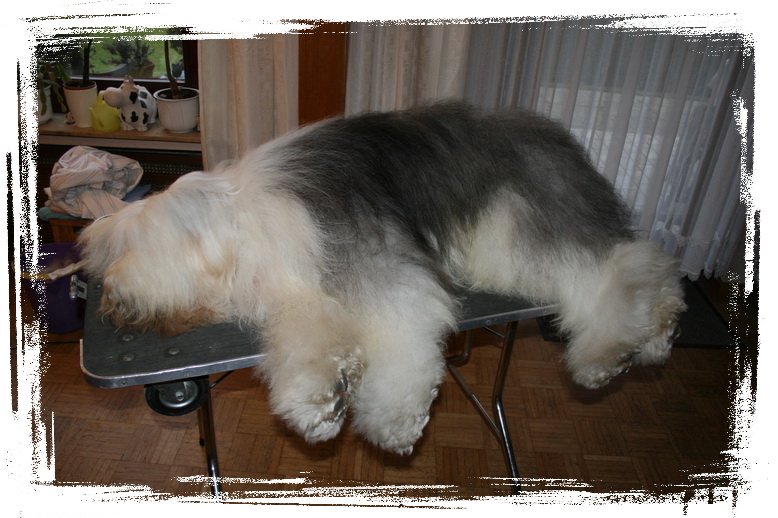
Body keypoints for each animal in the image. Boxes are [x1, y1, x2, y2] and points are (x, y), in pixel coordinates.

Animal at [78, 102, 686, 455]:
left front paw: (394, 422)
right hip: (500, 253)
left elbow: (403, 343)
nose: (110, 301)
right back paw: (657, 337)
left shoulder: (384, 277)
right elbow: (304, 344)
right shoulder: (302, 298)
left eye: (124, 251)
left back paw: (605, 355)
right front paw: (319, 405)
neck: (241, 232)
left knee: (627, 264)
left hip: (523, 225)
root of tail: (558, 138)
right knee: (637, 268)